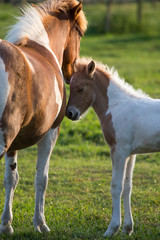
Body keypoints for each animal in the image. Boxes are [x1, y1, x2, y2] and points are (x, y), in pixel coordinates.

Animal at [0, 0, 87, 233]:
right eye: (81, 33)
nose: (71, 73)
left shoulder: (13, 142)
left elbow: (11, 179)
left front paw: (6, 224)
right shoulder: (51, 133)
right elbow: (42, 178)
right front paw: (40, 223)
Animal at [66, 58, 160, 236]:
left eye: (81, 88)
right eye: (70, 86)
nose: (70, 114)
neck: (116, 106)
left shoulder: (119, 152)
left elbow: (116, 186)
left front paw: (112, 229)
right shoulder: (131, 154)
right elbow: (128, 187)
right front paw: (127, 228)